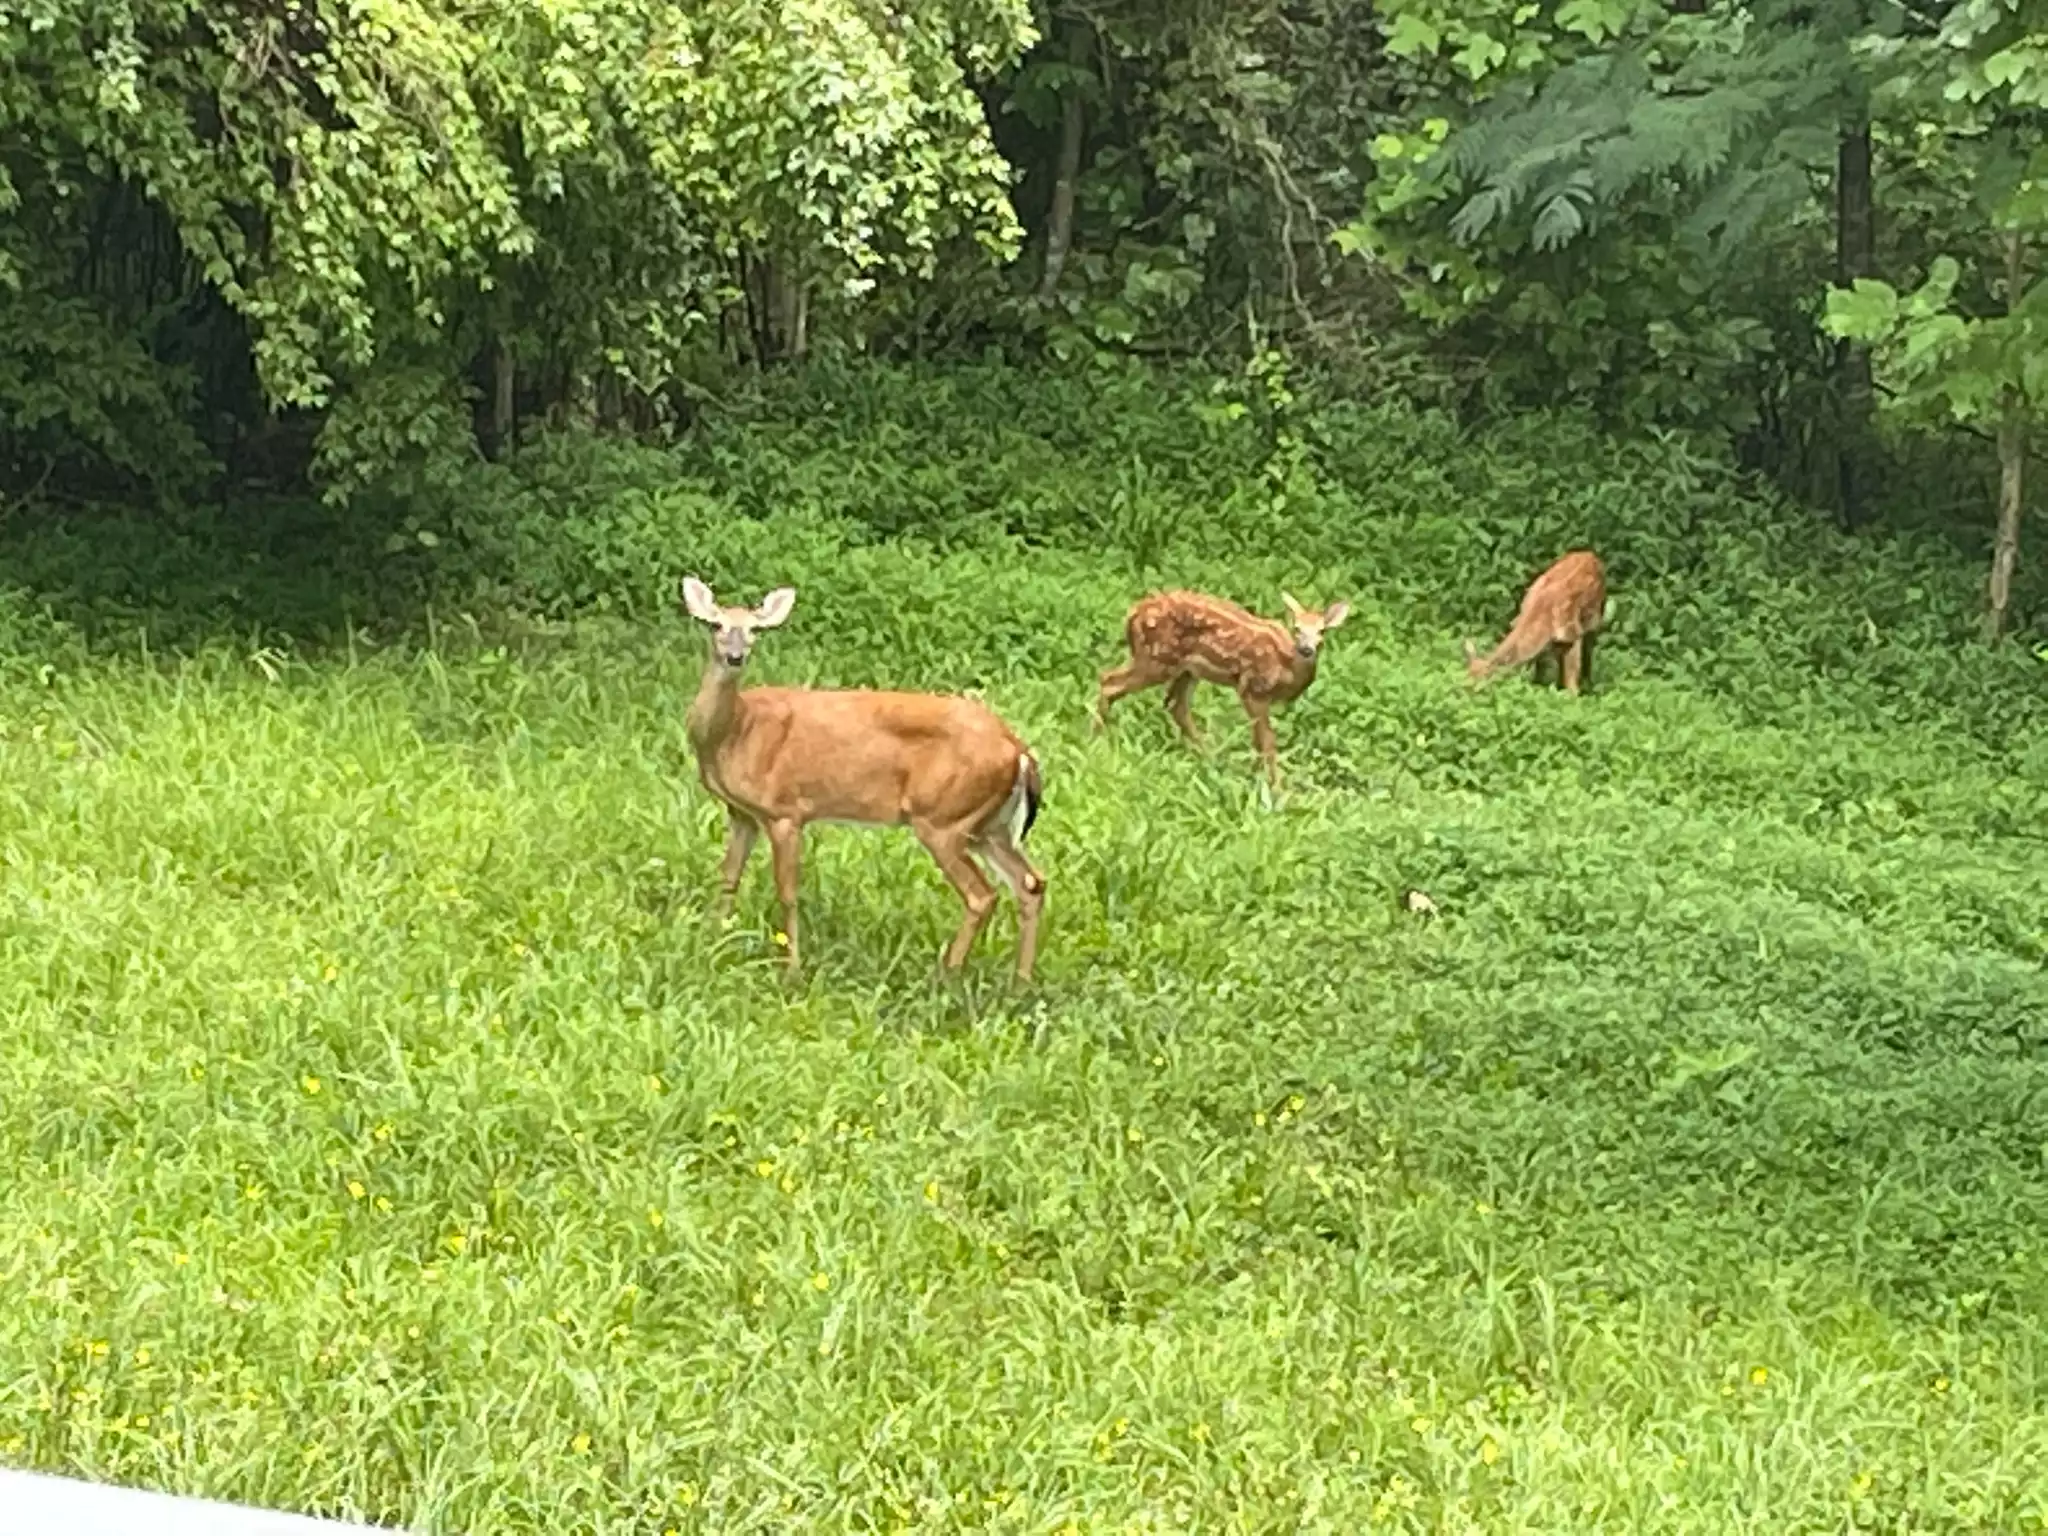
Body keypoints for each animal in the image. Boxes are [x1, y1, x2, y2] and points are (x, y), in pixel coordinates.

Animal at [679, 576, 1046, 982]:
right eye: (716, 625)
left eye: (755, 630)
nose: (735, 656)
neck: (735, 730)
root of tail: (1019, 750)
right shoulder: (742, 813)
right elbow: (728, 878)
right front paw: (712, 942)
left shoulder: (785, 810)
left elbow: (787, 893)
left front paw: (793, 971)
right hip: (988, 826)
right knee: (1030, 884)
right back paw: (1020, 981)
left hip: (944, 818)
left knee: (983, 895)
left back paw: (947, 976)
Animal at [1094, 589, 1350, 789]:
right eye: (1297, 628)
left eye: (1322, 631)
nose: (1307, 649)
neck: (1284, 666)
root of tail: (1133, 613)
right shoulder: (1252, 689)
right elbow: (1267, 740)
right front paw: (1278, 791)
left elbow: (1257, 739)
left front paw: (1255, 777)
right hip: (1157, 659)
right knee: (1108, 681)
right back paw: (1098, 739)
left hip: (1186, 670)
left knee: (1175, 705)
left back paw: (1211, 758)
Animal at [1463, 548, 1607, 694]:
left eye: (1479, 687)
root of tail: (1590, 554)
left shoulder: (1572, 635)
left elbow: (1572, 680)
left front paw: (1574, 695)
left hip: (1596, 618)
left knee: (1588, 650)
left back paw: (1587, 683)